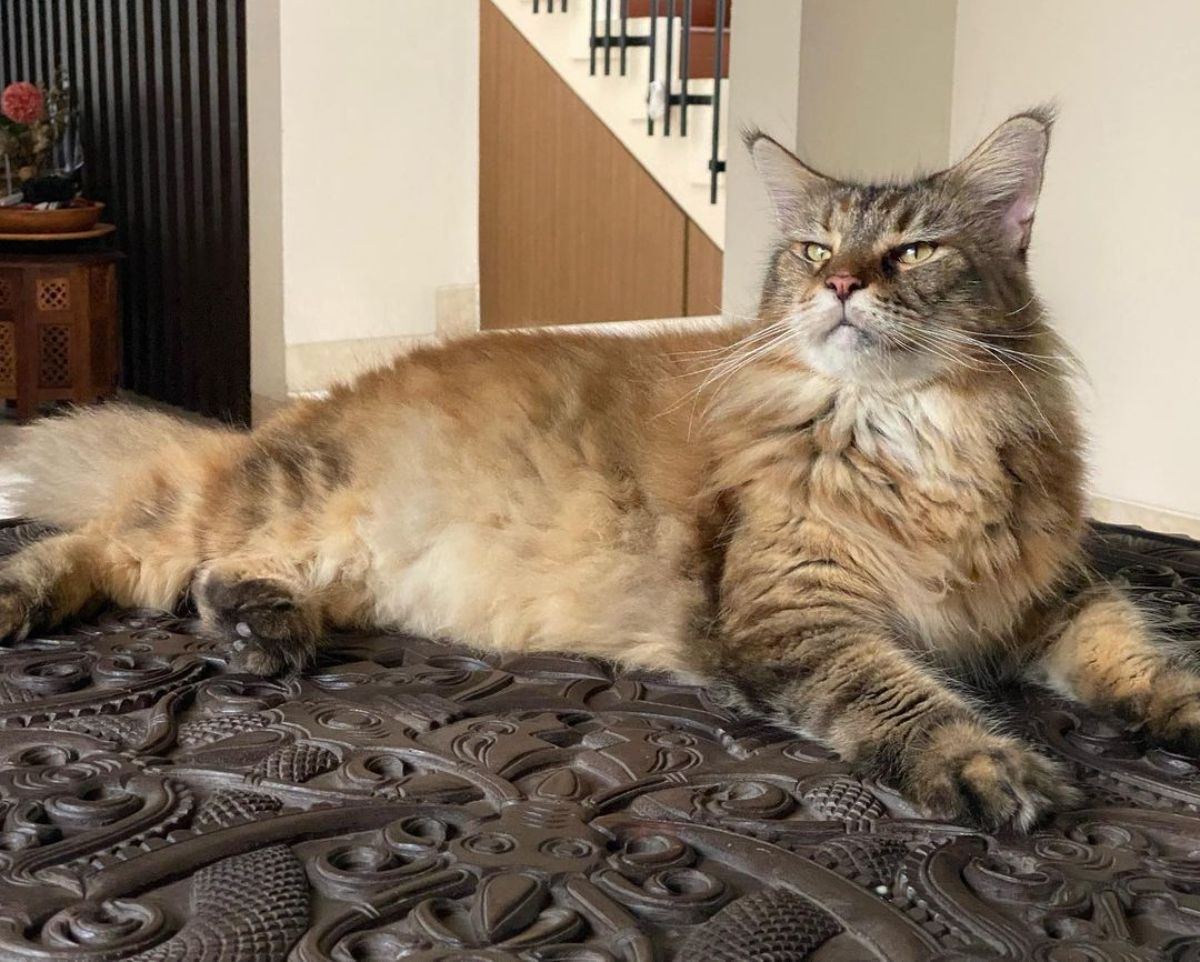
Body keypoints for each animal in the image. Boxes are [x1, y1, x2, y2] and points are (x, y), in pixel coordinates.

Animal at [2, 103, 1200, 825]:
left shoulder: (1055, 595)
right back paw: (30, 596)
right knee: (109, 539)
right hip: (243, 503)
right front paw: (990, 762)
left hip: (338, 561)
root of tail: (283, 419)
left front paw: (1175, 707)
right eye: (815, 248)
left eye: (913, 251)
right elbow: (907, 697)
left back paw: (264, 627)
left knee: (219, 580)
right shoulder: (801, 614)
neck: (909, 437)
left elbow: (1138, 651)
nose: (842, 286)